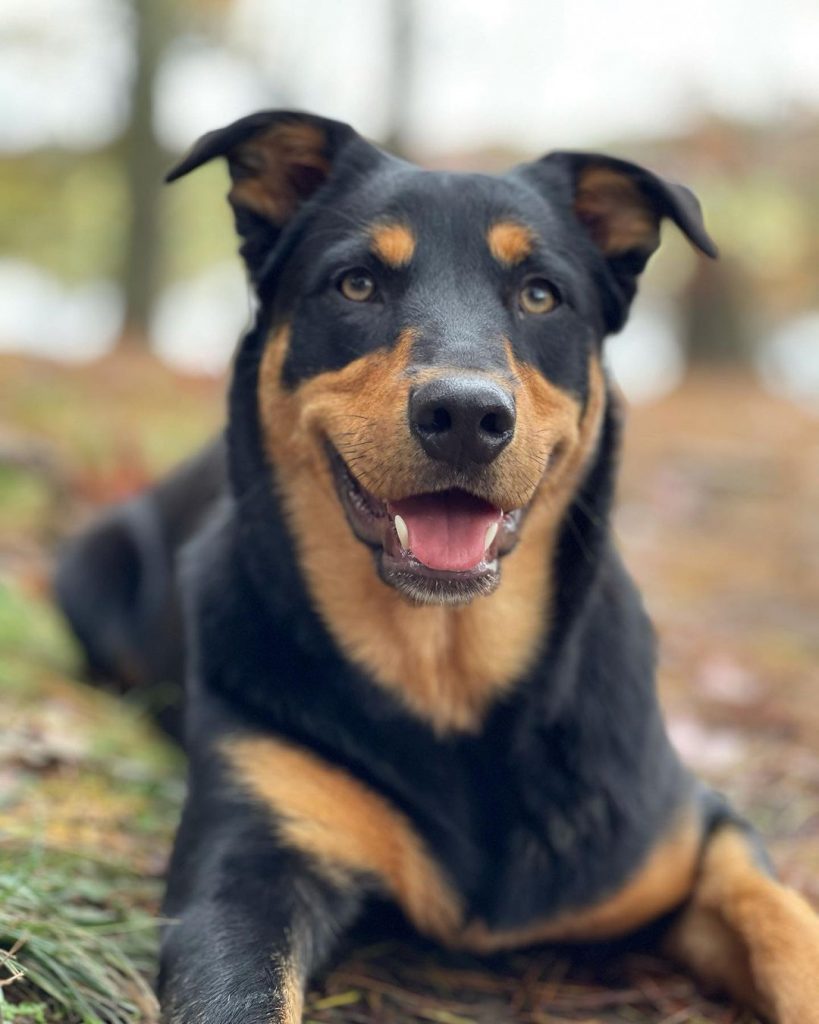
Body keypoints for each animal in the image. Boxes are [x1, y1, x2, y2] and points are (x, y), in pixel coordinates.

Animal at [56, 112, 818, 1024]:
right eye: (355, 284)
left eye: (540, 294)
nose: (463, 414)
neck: (446, 665)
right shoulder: (245, 873)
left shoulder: (696, 834)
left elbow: (782, 921)